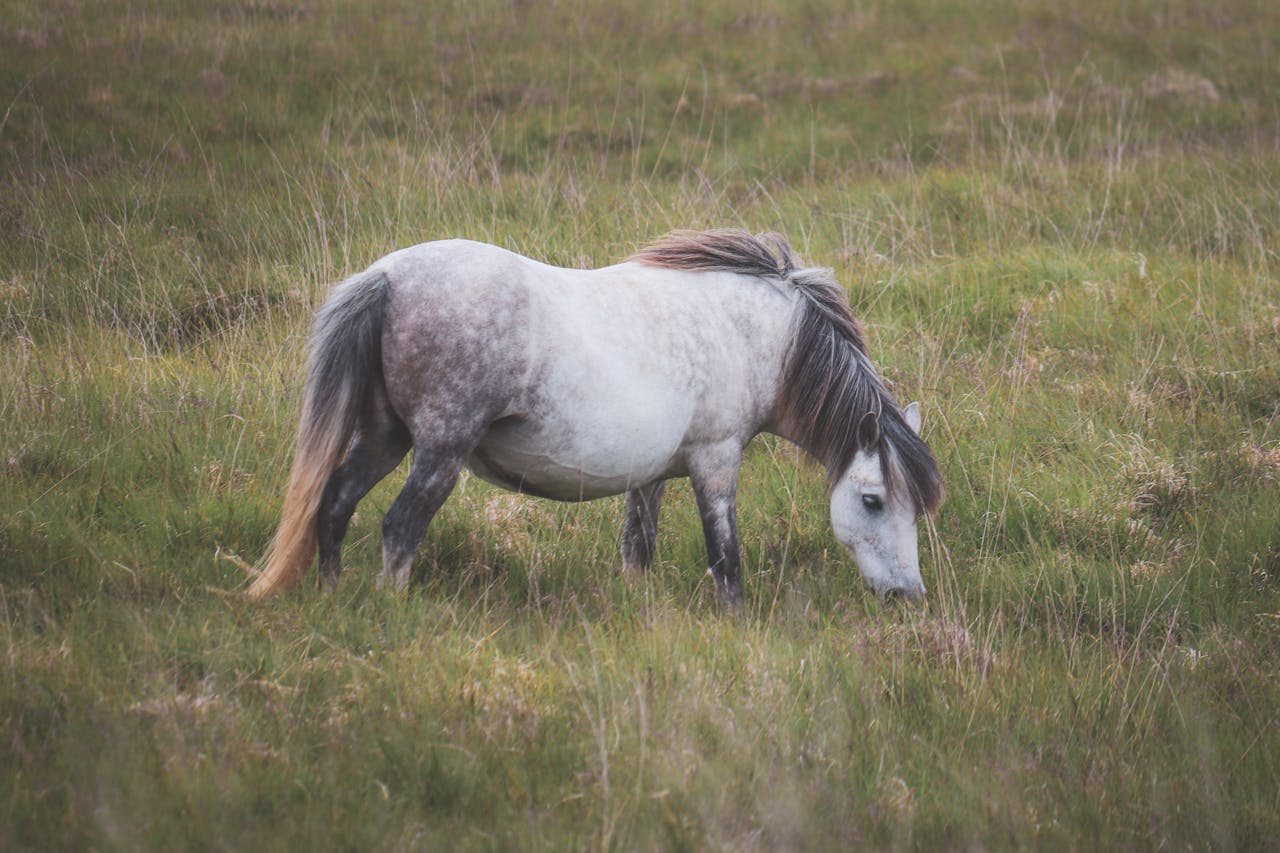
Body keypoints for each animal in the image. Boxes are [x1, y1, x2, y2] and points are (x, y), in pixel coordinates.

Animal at [249, 225, 947, 604]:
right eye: (873, 500)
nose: (906, 597)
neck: (758, 335)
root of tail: (388, 276)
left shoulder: (651, 476)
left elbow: (638, 552)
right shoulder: (716, 461)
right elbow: (727, 562)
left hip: (384, 438)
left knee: (334, 506)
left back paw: (335, 596)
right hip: (439, 452)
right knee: (398, 529)